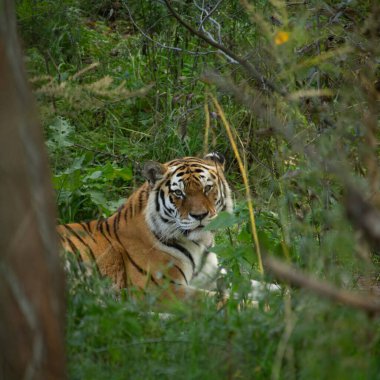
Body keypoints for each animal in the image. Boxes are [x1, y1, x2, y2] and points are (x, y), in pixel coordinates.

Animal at [57, 152, 233, 302]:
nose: (200, 215)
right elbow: (218, 300)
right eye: (179, 193)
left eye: (207, 188)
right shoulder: (161, 289)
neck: (199, 243)